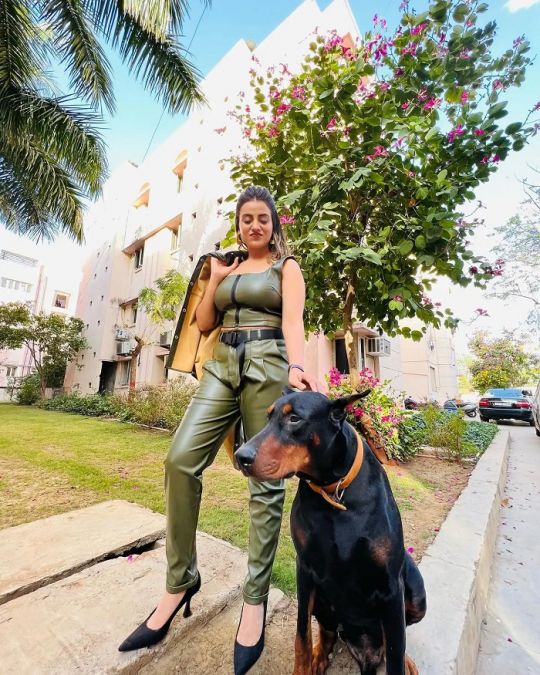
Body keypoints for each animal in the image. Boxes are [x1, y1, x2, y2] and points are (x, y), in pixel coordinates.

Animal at [235, 388, 426, 672]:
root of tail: (366, 649)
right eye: (268, 417)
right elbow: (301, 635)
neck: (332, 491)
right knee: (328, 629)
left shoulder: (391, 585)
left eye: (294, 418)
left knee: (393, 637)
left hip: (415, 590)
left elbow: (395, 649)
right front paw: (303, 666)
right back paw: (319, 656)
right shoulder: (304, 569)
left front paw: (401, 660)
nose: (241, 456)